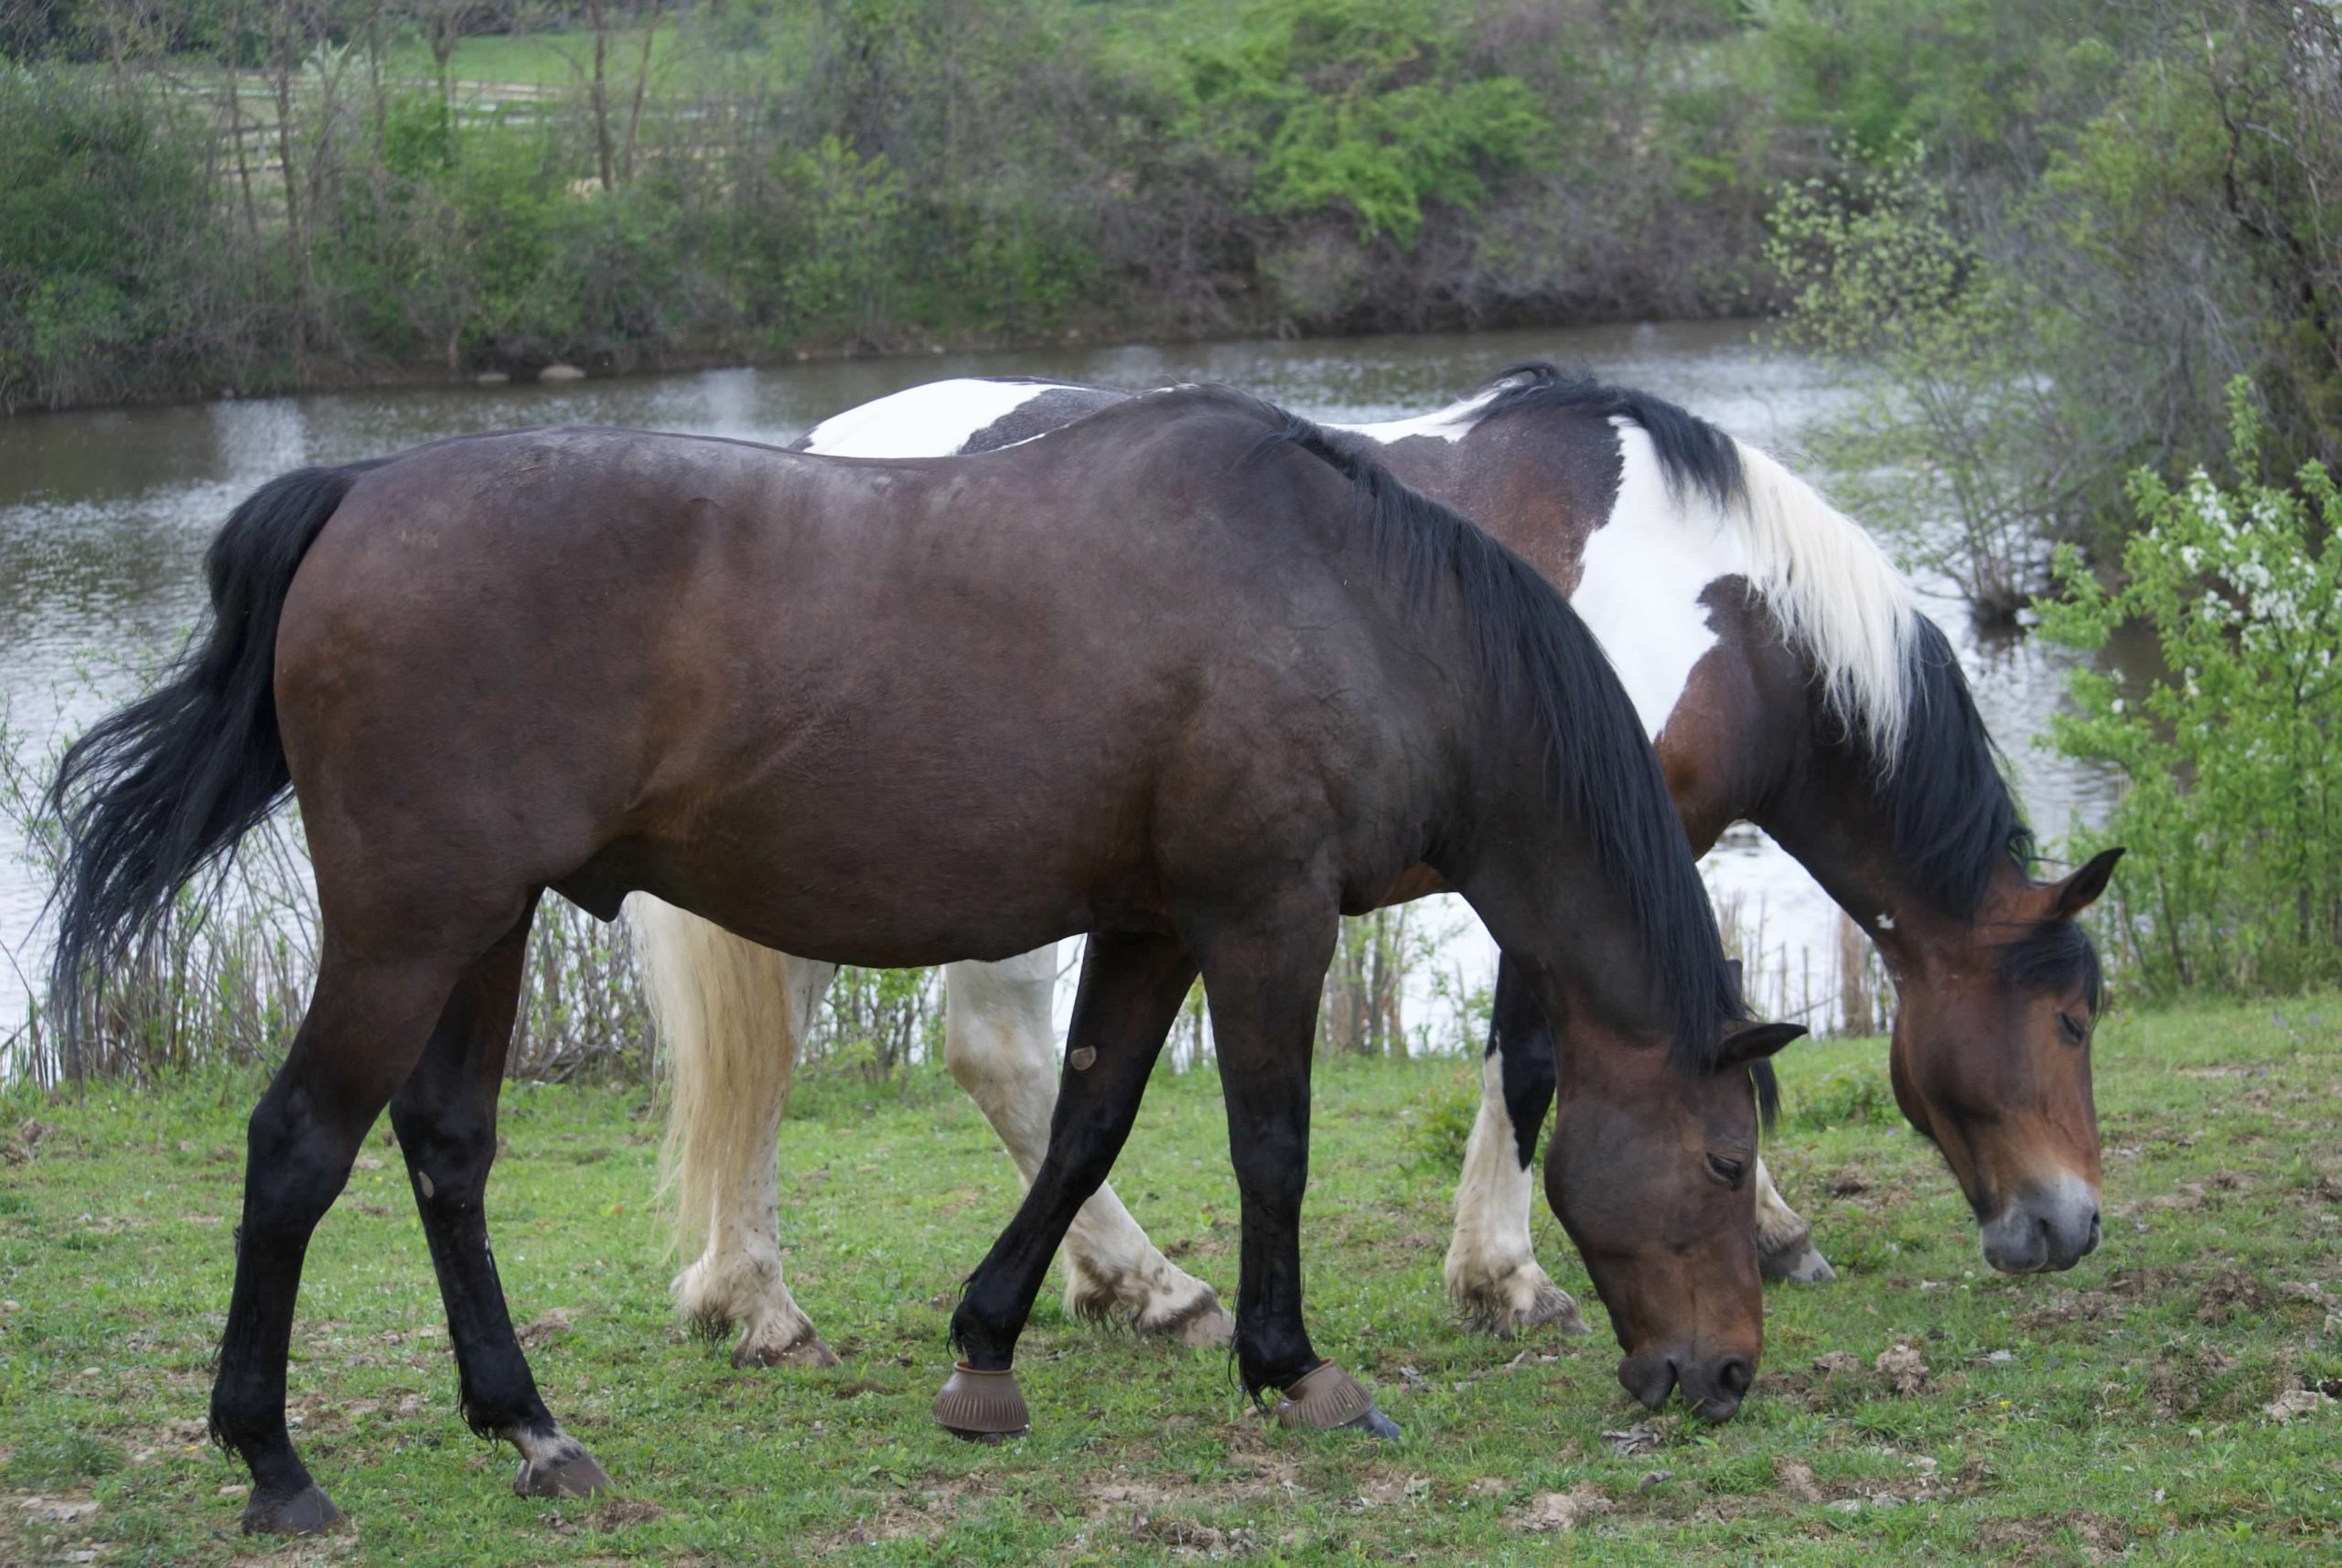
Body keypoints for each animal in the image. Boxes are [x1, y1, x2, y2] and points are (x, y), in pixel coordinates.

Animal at [55, 391, 1799, 1535]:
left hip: (482, 927)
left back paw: (530, 1428)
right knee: (299, 1146)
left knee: (445, 1147)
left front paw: (990, 1348)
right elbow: (1271, 1143)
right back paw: (274, 1461)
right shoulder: (1263, 917)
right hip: (410, 925)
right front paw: (1289, 1362)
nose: (1723, 1376)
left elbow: (1089, 1120)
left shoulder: (1152, 920)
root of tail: (358, 493)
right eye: (1725, 1161)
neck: (1357, 607)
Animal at [641, 365, 2126, 1376]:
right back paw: (1139, 1284)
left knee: (785, 1056)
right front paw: (1505, 1277)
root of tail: (819, 455)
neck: (1722, 598)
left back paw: (759, 1297)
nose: (2068, 1227)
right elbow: (1545, 1059)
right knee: (993, 1055)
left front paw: (1763, 1224)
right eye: (2069, 1018)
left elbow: (1718, 1040)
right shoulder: (1576, 861)